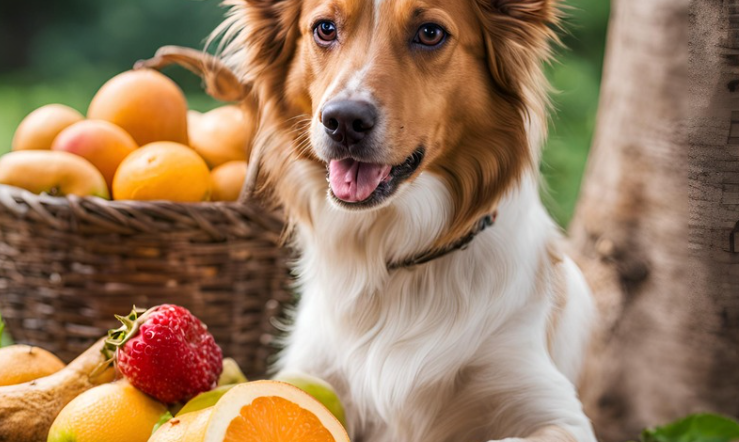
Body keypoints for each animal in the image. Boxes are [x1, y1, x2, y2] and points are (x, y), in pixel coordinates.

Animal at [217, 1, 600, 440]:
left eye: (430, 33)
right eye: (325, 29)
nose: (343, 121)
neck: (399, 257)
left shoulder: (558, 412)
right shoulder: (315, 371)